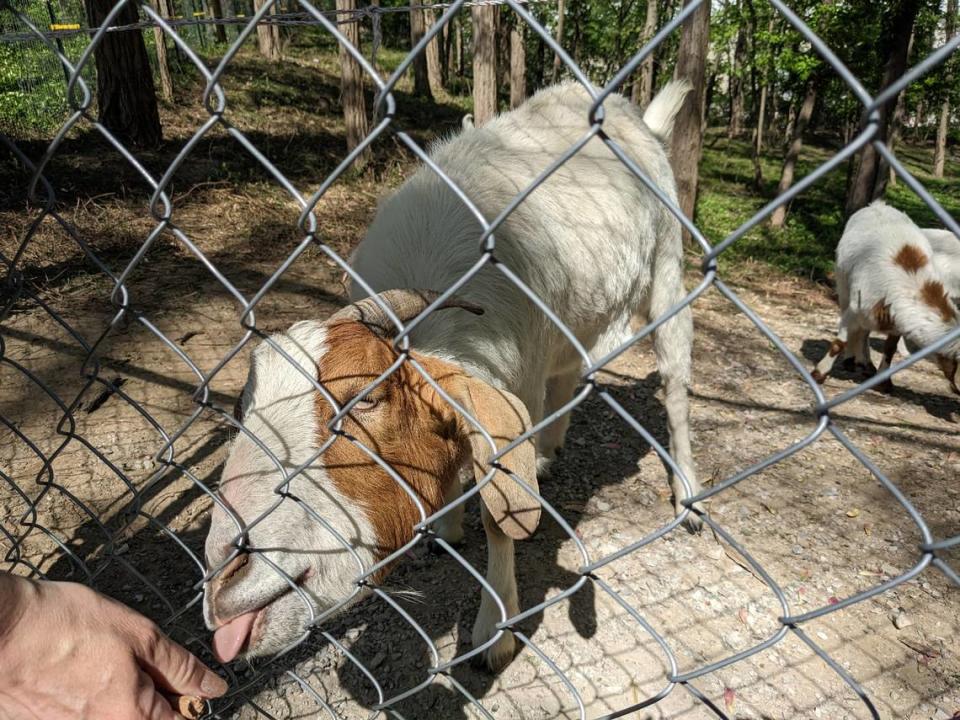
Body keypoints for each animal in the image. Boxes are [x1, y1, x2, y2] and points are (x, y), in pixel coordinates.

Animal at [202, 80, 700, 676]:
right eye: (242, 409)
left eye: (363, 398)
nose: (224, 582)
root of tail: (635, 116)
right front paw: (447, 526)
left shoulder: (515, 383)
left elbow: (499, 511)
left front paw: (495, 632)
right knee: (569, 375)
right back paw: (550, 454)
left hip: (668, 272)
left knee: (674, 383)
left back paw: (688, 497)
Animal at [808, 200, 960, 394]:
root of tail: (877, 205)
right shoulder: (855, 308)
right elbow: (839, 341)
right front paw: (818, 375)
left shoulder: (896, 322)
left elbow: (889, 349)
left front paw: (884, 382)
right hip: (843, 286)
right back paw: (852, 361)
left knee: (864, 331)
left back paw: (865, 365)